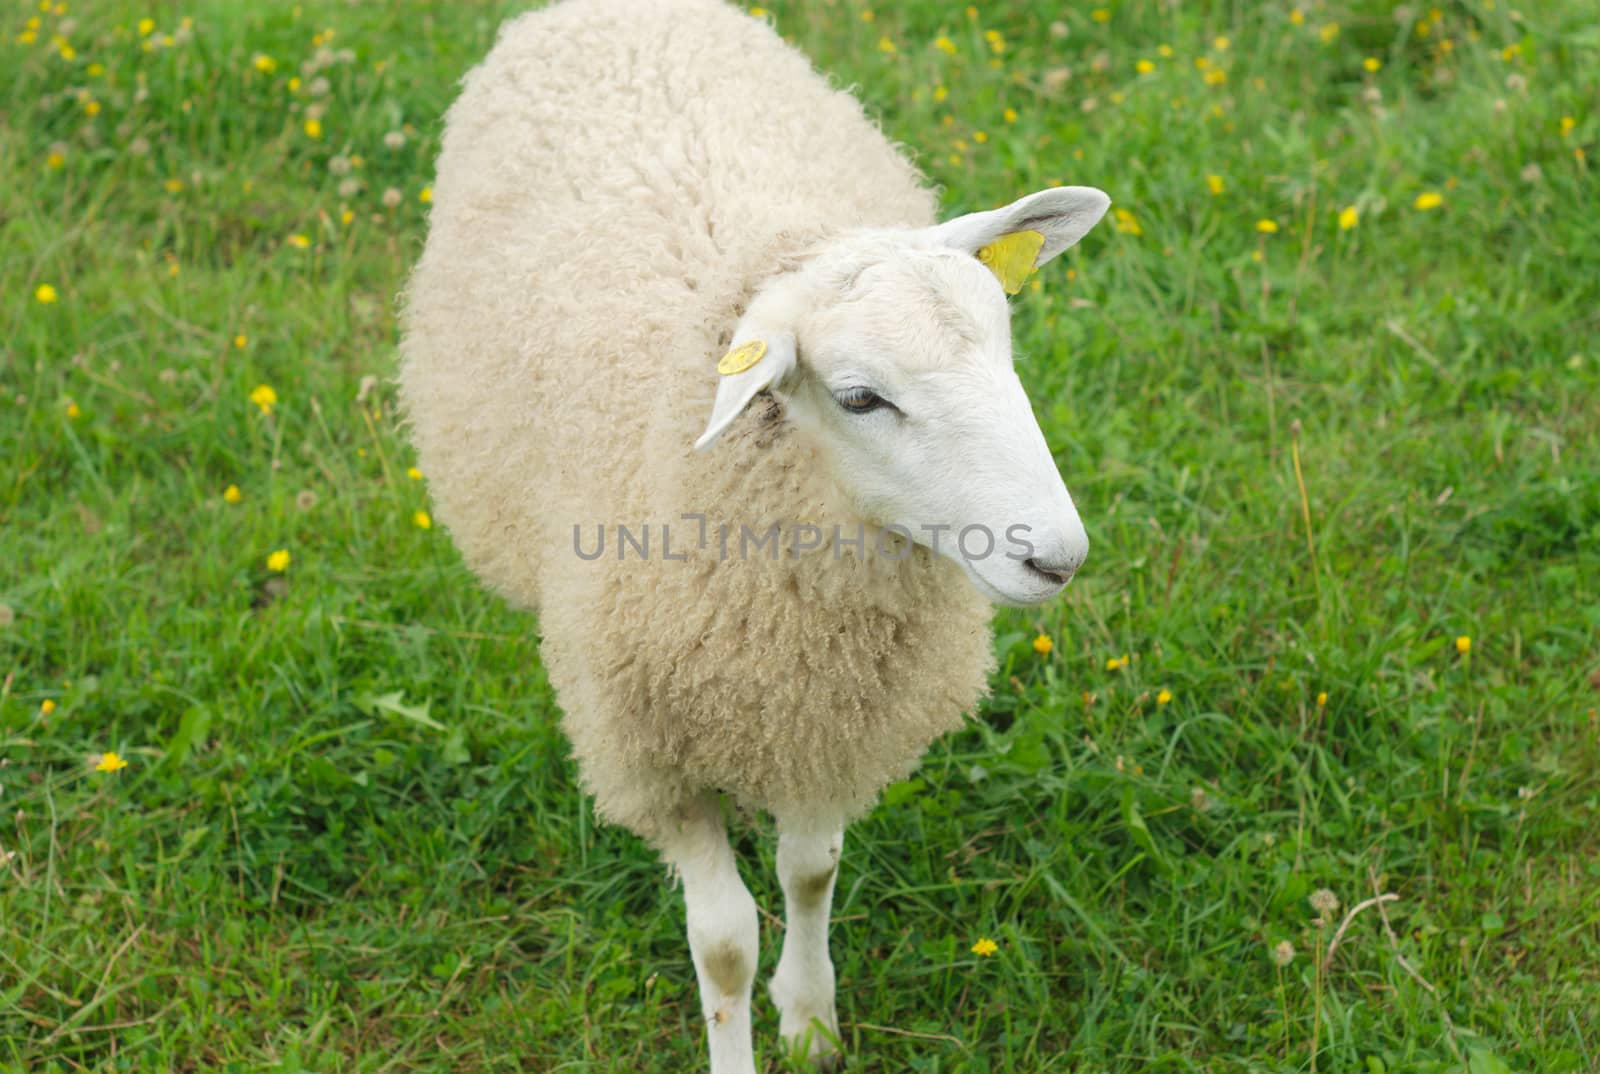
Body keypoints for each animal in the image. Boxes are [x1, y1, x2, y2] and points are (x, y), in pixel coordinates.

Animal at [393, 4, 1107, 1069]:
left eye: (1006, 347)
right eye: (860, 396)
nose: (1055, 558)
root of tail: (606, 12)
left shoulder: (822, 715)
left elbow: (811, 870)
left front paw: (809, 1021)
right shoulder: (654, 749)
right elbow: (723, 942)